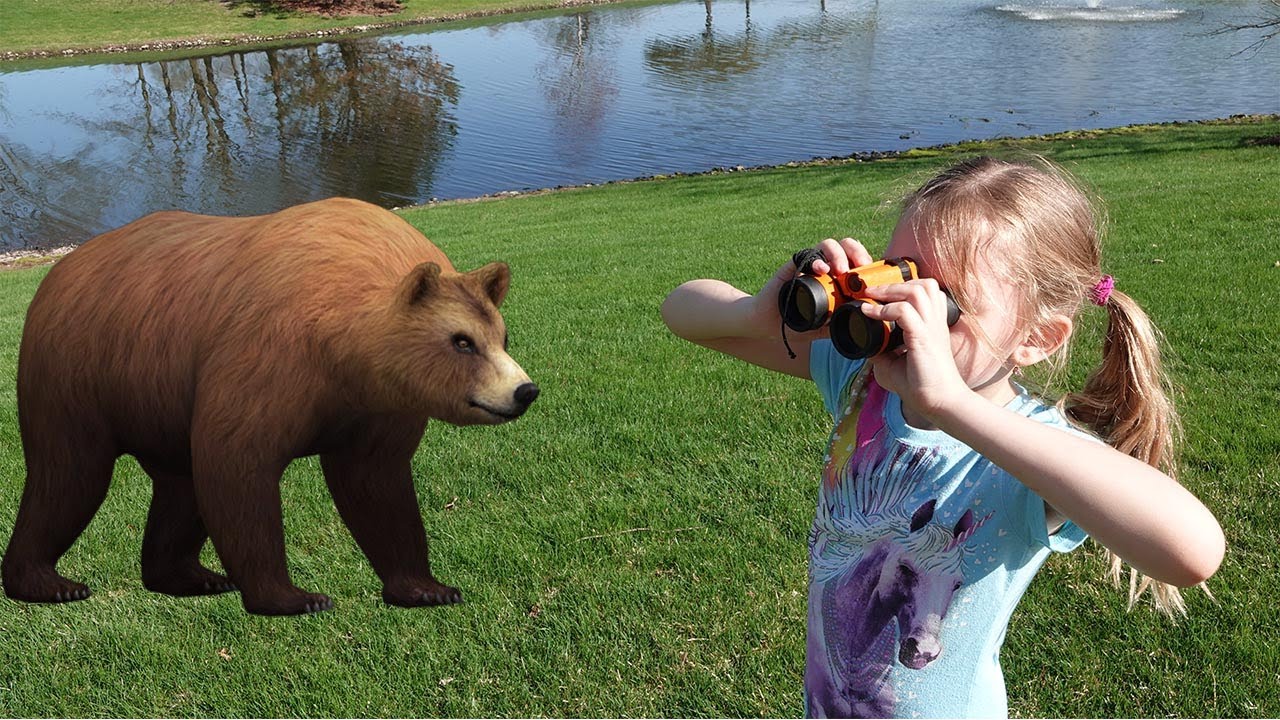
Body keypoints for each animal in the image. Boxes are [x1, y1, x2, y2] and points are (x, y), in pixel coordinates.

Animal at [3, 197, 539, 616]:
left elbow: (377, 486)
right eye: (462, 341)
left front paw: (428, 588)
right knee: (68, 474)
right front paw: (295, 596)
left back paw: (189, 576)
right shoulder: (269, 359)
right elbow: (238, 468)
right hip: (77, 377)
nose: (524, 390)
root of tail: (60, 269)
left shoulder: (377, 409)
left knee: (178, 484)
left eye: (503, 336)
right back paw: (49, 583)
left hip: (159, 397)